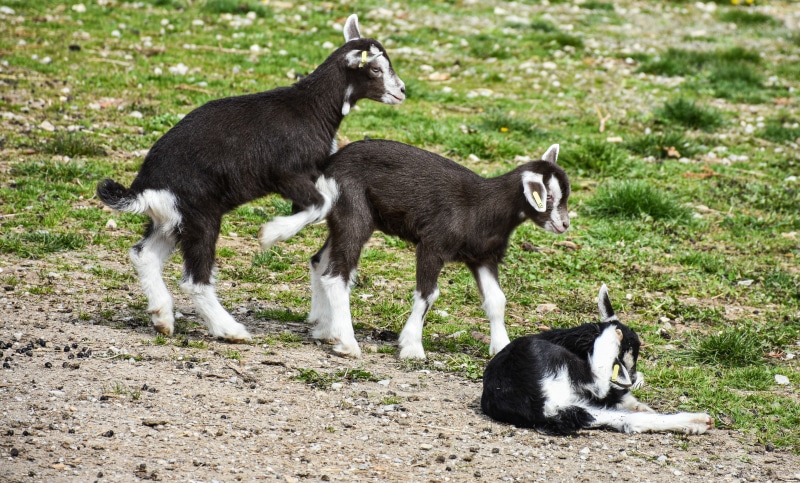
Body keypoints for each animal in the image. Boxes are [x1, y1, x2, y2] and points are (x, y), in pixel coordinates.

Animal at [96, 15, 405, 341]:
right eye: (375, 69)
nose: (402, 91)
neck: (312, 108)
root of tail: (144, 188)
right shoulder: (287, 173)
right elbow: (319, 204)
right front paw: (271, 233)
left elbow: (318, 205)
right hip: (200, 215)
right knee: (194, 279)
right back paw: (230, 329)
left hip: (172, 219)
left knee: (144, 255)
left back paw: (162, 317)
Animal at [260, 139, 571, 358]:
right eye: (548, 197)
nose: (565, 224)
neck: (482, 206)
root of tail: (327, 168)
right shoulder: (433, 245)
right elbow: (428, 293)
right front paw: (412, 347)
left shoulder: (483, 257)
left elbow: (497, 300)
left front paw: (502, 347)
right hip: (353, 212)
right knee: (337, 275)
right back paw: (348, 343)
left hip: (345, 219)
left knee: (319, 261)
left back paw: (325, 329)